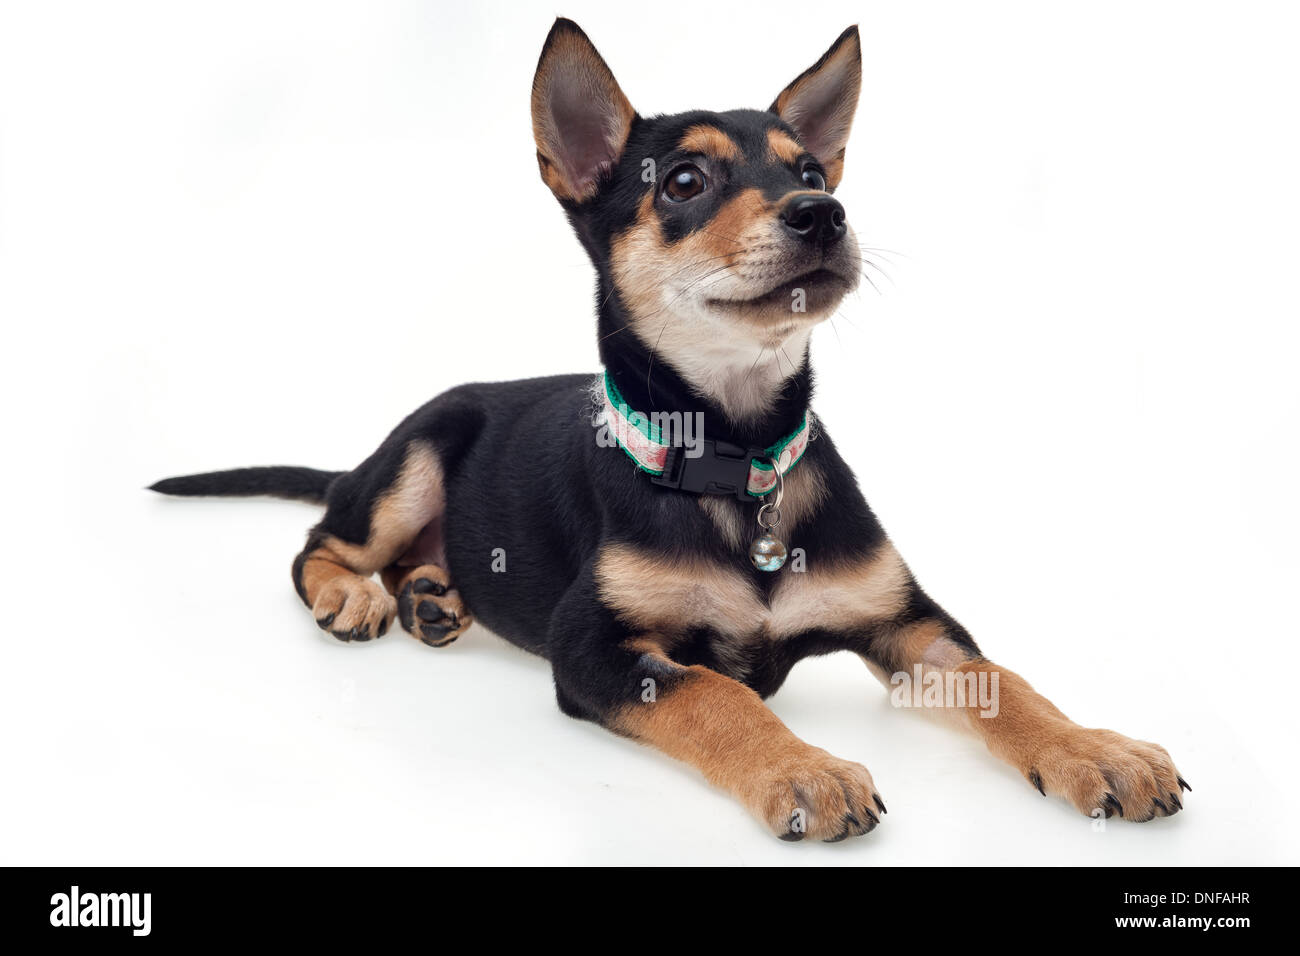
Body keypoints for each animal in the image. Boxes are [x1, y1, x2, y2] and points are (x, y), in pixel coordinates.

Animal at [152, 18, 1190, 842]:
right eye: (684, 181)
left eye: (810, 169)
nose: (825, 212)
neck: (735, 453)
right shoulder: (593, 650)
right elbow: (715, 691)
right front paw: (802, 769)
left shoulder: (913, 623)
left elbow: (1004, 679)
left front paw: (1097, 750)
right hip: (415, 456)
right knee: (319, 541)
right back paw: (359, 597)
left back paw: (432, 595)